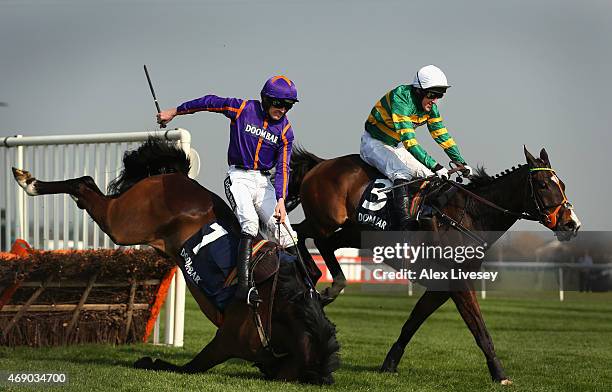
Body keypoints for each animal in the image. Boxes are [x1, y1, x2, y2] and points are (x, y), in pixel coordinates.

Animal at [11, 139, 340, 384]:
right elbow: (187, 367)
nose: (268, 369)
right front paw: (149, 360)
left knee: (87, 184)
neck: (280, 307)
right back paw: (29, 182)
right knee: (84, 185)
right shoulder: (227, 340)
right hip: (121, 224)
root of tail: (176, 176)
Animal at [284, 145, 580, 384]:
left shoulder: (441, 286)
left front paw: (389, 364)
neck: (471, 215)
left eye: (563, 184)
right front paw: (500, 374)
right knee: (299, 232)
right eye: (543, 185)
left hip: (352, 231)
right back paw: (313, 276)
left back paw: (324, 284)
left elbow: (413, 322)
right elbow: (479, 329)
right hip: (327, 220)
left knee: (321, 242)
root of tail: (322, 163)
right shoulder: (458, 283)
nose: (571, 224)